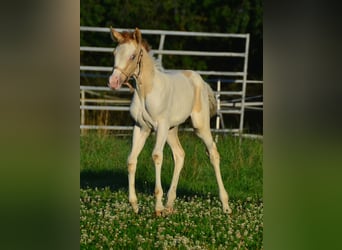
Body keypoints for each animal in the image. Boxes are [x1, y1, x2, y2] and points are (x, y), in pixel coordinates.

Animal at [108, 27, 232, 215]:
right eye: (114, 53)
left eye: (132, 56)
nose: (113, 82)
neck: (145, 91)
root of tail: (200, 81)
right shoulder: (141, 127)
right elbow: (131, 159)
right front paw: (135, 205)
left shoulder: (160, 126)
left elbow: (157, 156)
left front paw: (157, 207)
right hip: (172, 129)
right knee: (179, 155)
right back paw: (170, 204)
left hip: (199, 126)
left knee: (213, 154)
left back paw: (225, 205)